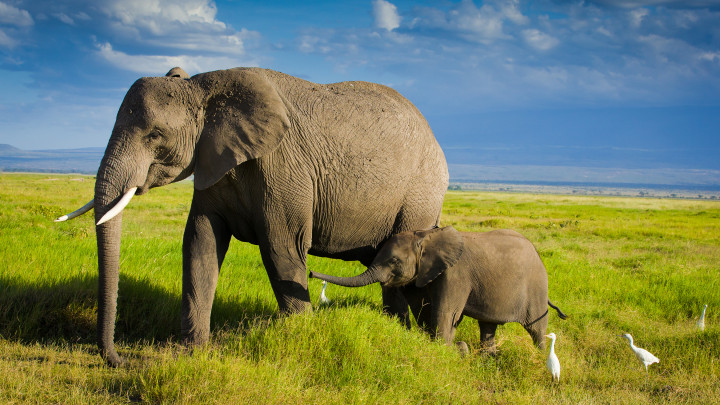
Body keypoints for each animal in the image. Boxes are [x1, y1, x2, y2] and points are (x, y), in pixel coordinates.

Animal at [56, 67, 448, 366]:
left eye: (155, 134)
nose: (120, 359)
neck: (202, 86)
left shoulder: (283, 164)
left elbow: (281, 248)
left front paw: (299, 340)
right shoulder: (212, 162)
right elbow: (200, 243)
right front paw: (192, 353)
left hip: (420, 193)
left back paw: (404, 334)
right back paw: (399, 331)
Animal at [309, 226, 567, 352]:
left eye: (393, 261)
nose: (311, 273)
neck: (425, 237)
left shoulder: (455, 273)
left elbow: (445, 313)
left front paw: (447, 350)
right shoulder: (425, 274)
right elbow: (426, 311)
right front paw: (450, 348)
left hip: (536, 288)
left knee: (536, 329)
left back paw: (540, 358)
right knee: (488, 327)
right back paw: (489, 360)